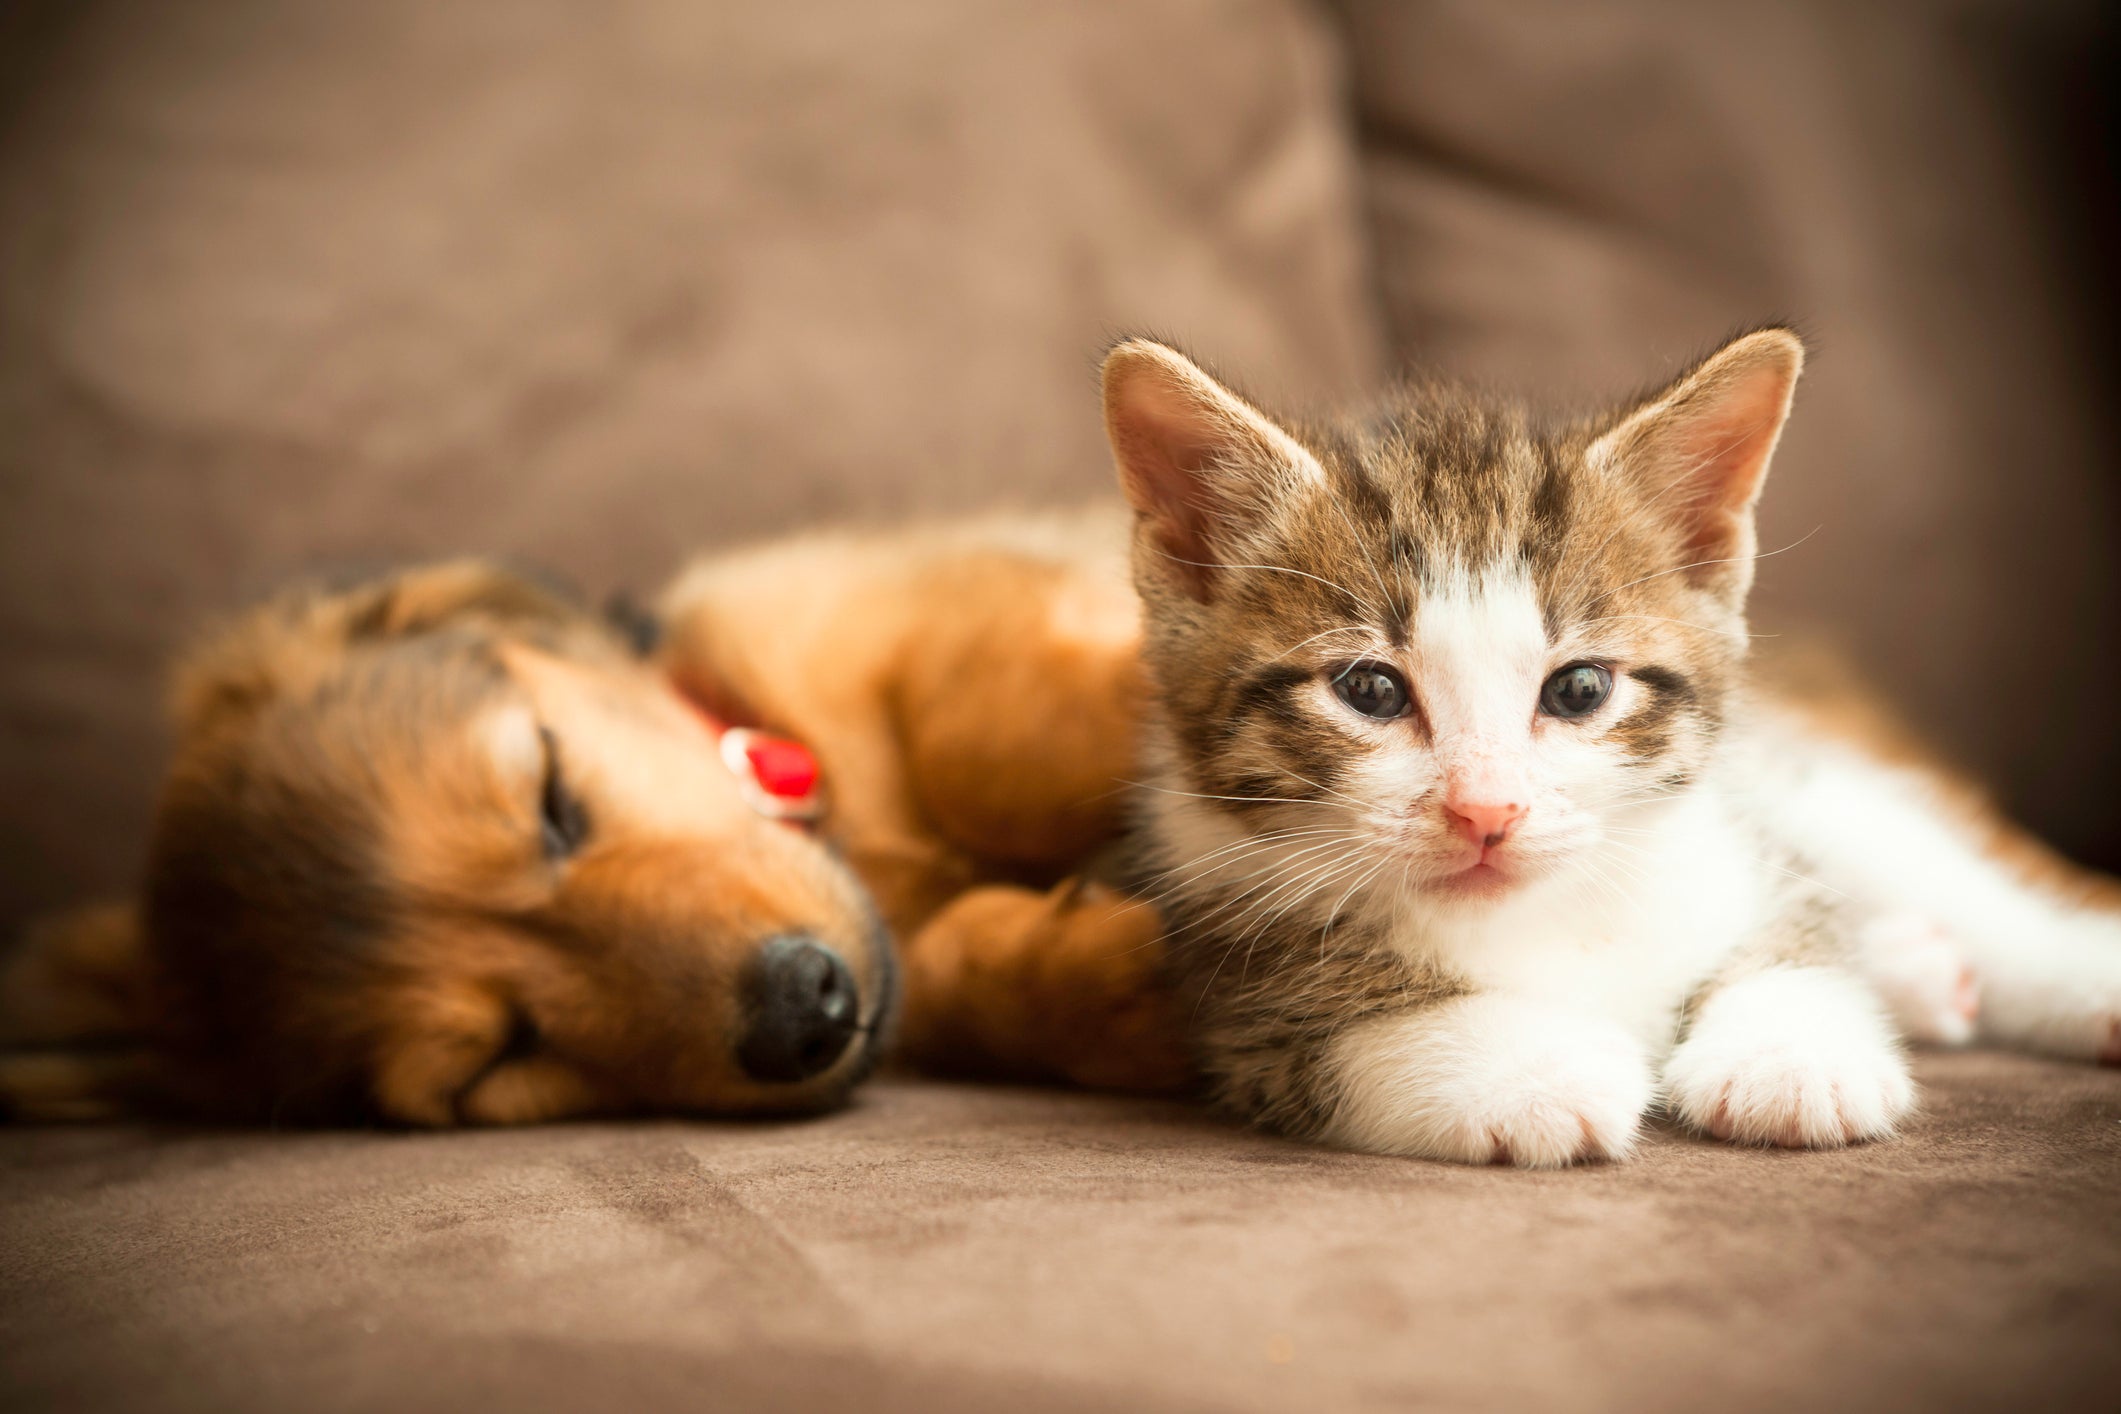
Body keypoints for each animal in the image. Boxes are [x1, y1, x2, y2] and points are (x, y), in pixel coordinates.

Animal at [1102, 328, 2112, 1161]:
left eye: (1579, 689)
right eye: (1370, 691)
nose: (1486, 810)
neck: (1545, 913)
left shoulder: (1732, 831)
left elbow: (1795, 929)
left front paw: (1789, 1053)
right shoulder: (1225, 973)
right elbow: (1330, 1030)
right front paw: (1527, 1068)